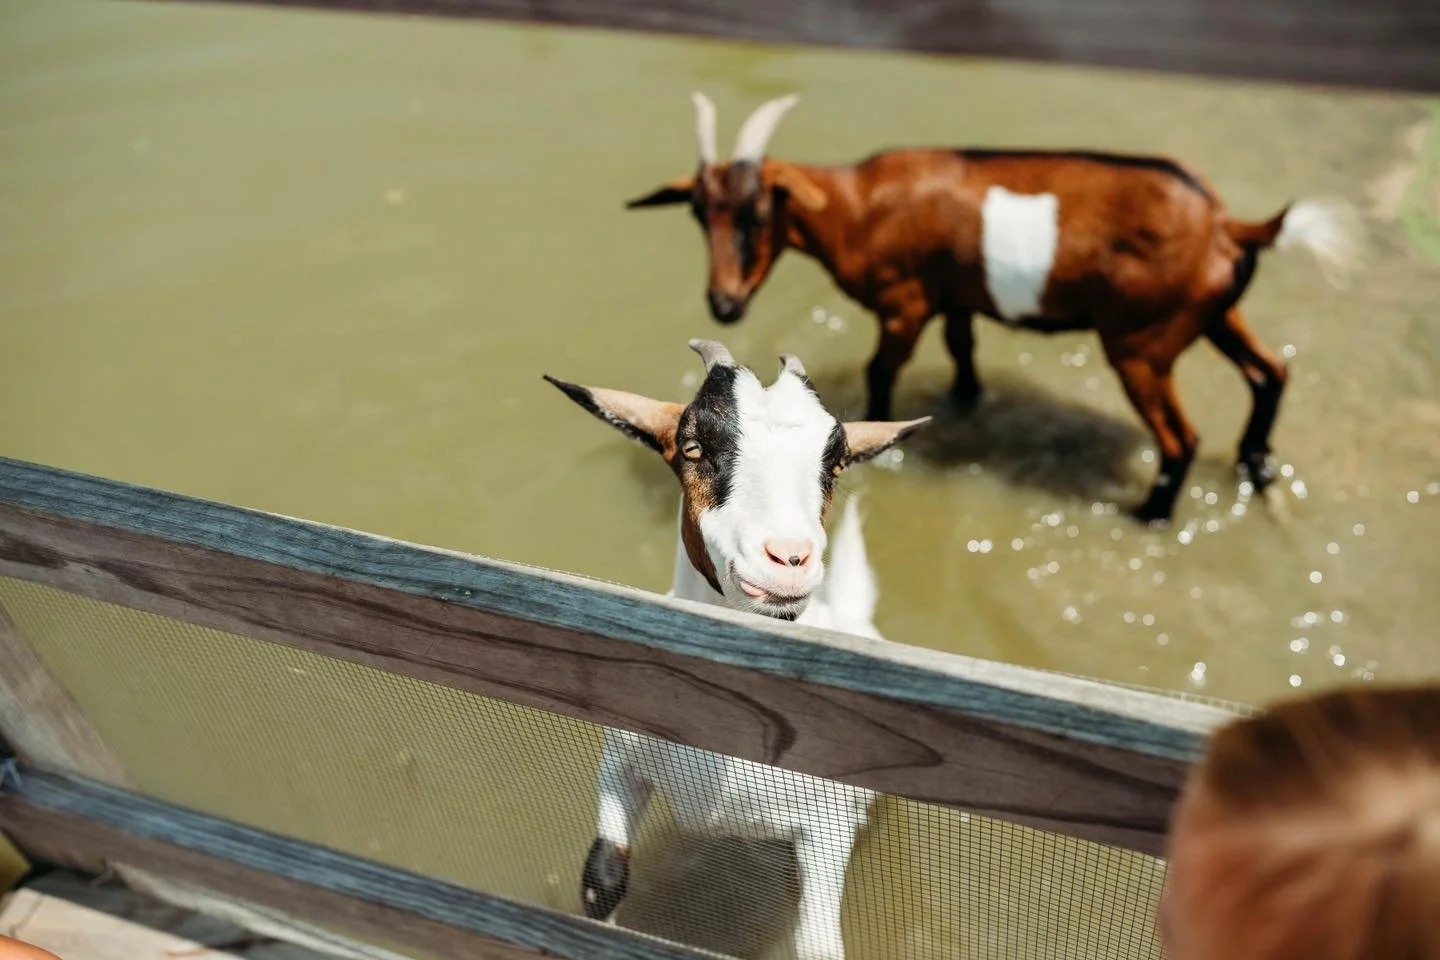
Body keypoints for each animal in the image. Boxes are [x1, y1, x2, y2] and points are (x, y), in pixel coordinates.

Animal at [544, 338, 929, 960]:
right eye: (694, 447)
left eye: (836, 461)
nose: (789, 560)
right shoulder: (622, 764)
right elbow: (602, 877)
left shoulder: (827, 826)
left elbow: (817, 942)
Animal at [625, 93, 1362, 523]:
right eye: (699, 214)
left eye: (757, 214)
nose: (724, 303)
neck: (858, 206)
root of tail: (1227, 224)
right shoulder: (956, 299)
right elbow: (963, 353)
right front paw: (966, 403)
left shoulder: (905, 303)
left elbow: (880, 373)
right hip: (1211, 316)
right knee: (1271, 374)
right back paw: (1258, 469)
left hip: (1143, 343)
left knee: (1181, 438)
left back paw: (1148, 516)